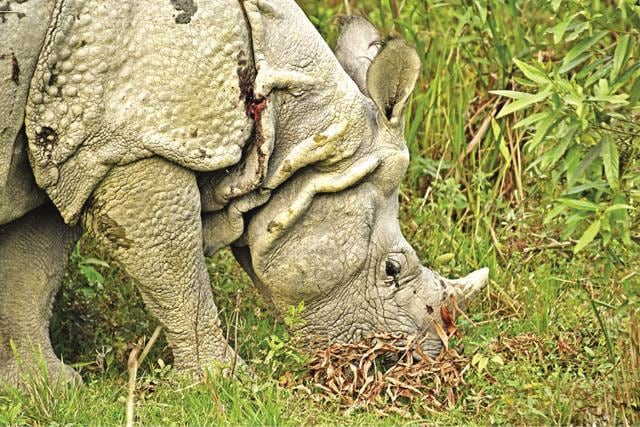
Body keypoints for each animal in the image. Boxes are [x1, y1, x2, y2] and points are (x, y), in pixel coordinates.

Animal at [0, 0, 489, 386]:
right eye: (391, 269)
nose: (428, 355)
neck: (293, 133)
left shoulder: (73, 143)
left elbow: (31, 269)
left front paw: (45, 386)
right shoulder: (131, 142)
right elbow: (175, 275)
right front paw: (227, 383)